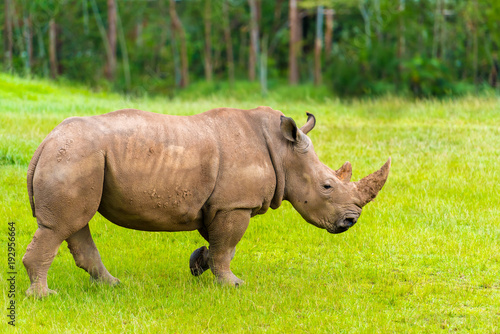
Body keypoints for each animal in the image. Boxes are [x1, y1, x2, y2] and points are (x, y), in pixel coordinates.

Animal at [23, 107, 390, 298]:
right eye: (327, 186)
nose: (350, 221)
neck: (284, 152)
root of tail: (44, 142)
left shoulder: (218, 204)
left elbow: (218, 243)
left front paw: (198, 265)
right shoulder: (235, 204)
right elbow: (226, 246)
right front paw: (233, 285)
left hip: (77, 157)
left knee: (75, 222)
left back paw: (112, 286)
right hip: (75, 155)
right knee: (62, 225)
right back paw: (43, 296)